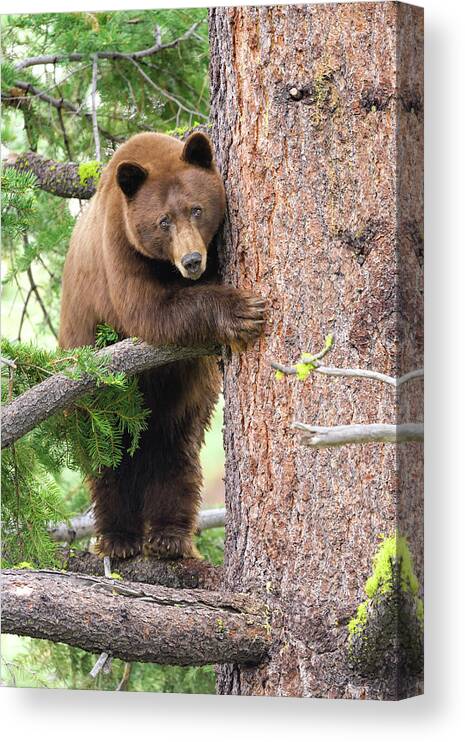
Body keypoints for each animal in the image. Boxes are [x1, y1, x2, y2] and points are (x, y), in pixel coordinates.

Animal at [59, 131, 264, 560]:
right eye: (163, 221)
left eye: (197, 209)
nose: (192, 260)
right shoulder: (119, 245)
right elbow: (150, 310)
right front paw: (241, 311)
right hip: (89, 382)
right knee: (107, 455)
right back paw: (119, 538)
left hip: (188, 399)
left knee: (175, 451)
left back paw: (170, 537)